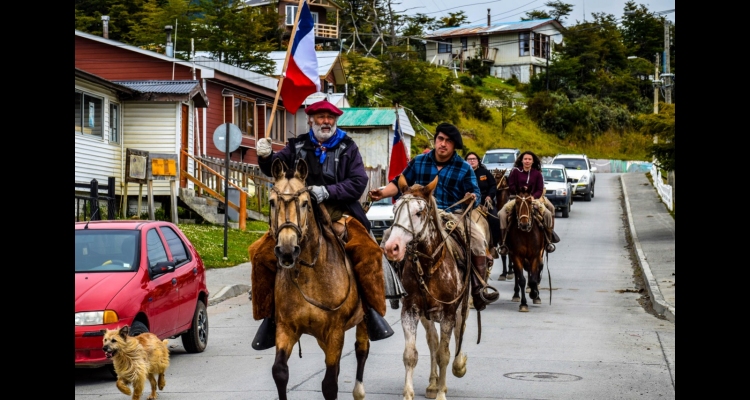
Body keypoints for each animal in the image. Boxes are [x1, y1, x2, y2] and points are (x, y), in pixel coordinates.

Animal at [262, 159, 374, 400]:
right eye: (272, 202)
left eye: (305, 203)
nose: (287, 250)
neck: (310, 273)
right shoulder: (286, 327)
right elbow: (280, 372)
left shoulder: (334, 332)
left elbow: (330, 384)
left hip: (361, 321)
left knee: (362, 349)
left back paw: (359, 390)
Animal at [382, 177, 470, 400]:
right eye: (394, 209)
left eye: (419, 212)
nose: (392, 247)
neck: (429, 266)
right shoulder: (411, 311)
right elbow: (411, 354)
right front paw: (409, 394)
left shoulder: (449, 312)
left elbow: (444, 354)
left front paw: (441, 393)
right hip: (426, 315)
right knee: (432, 341)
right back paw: (433, 383)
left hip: (460, 309)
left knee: (458, 332)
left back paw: (455, 370)